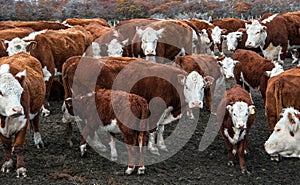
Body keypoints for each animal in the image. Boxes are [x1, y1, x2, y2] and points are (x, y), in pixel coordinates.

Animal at [61, 56, 210, 155]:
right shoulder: (156, 109)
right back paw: (98, 144)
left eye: (203, 87)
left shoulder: (166, 110)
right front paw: (153, 148)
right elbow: (154, 128)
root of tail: (73, 62)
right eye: (187, 86)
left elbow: (161, 128)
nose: (196, 103)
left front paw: (161, 145)